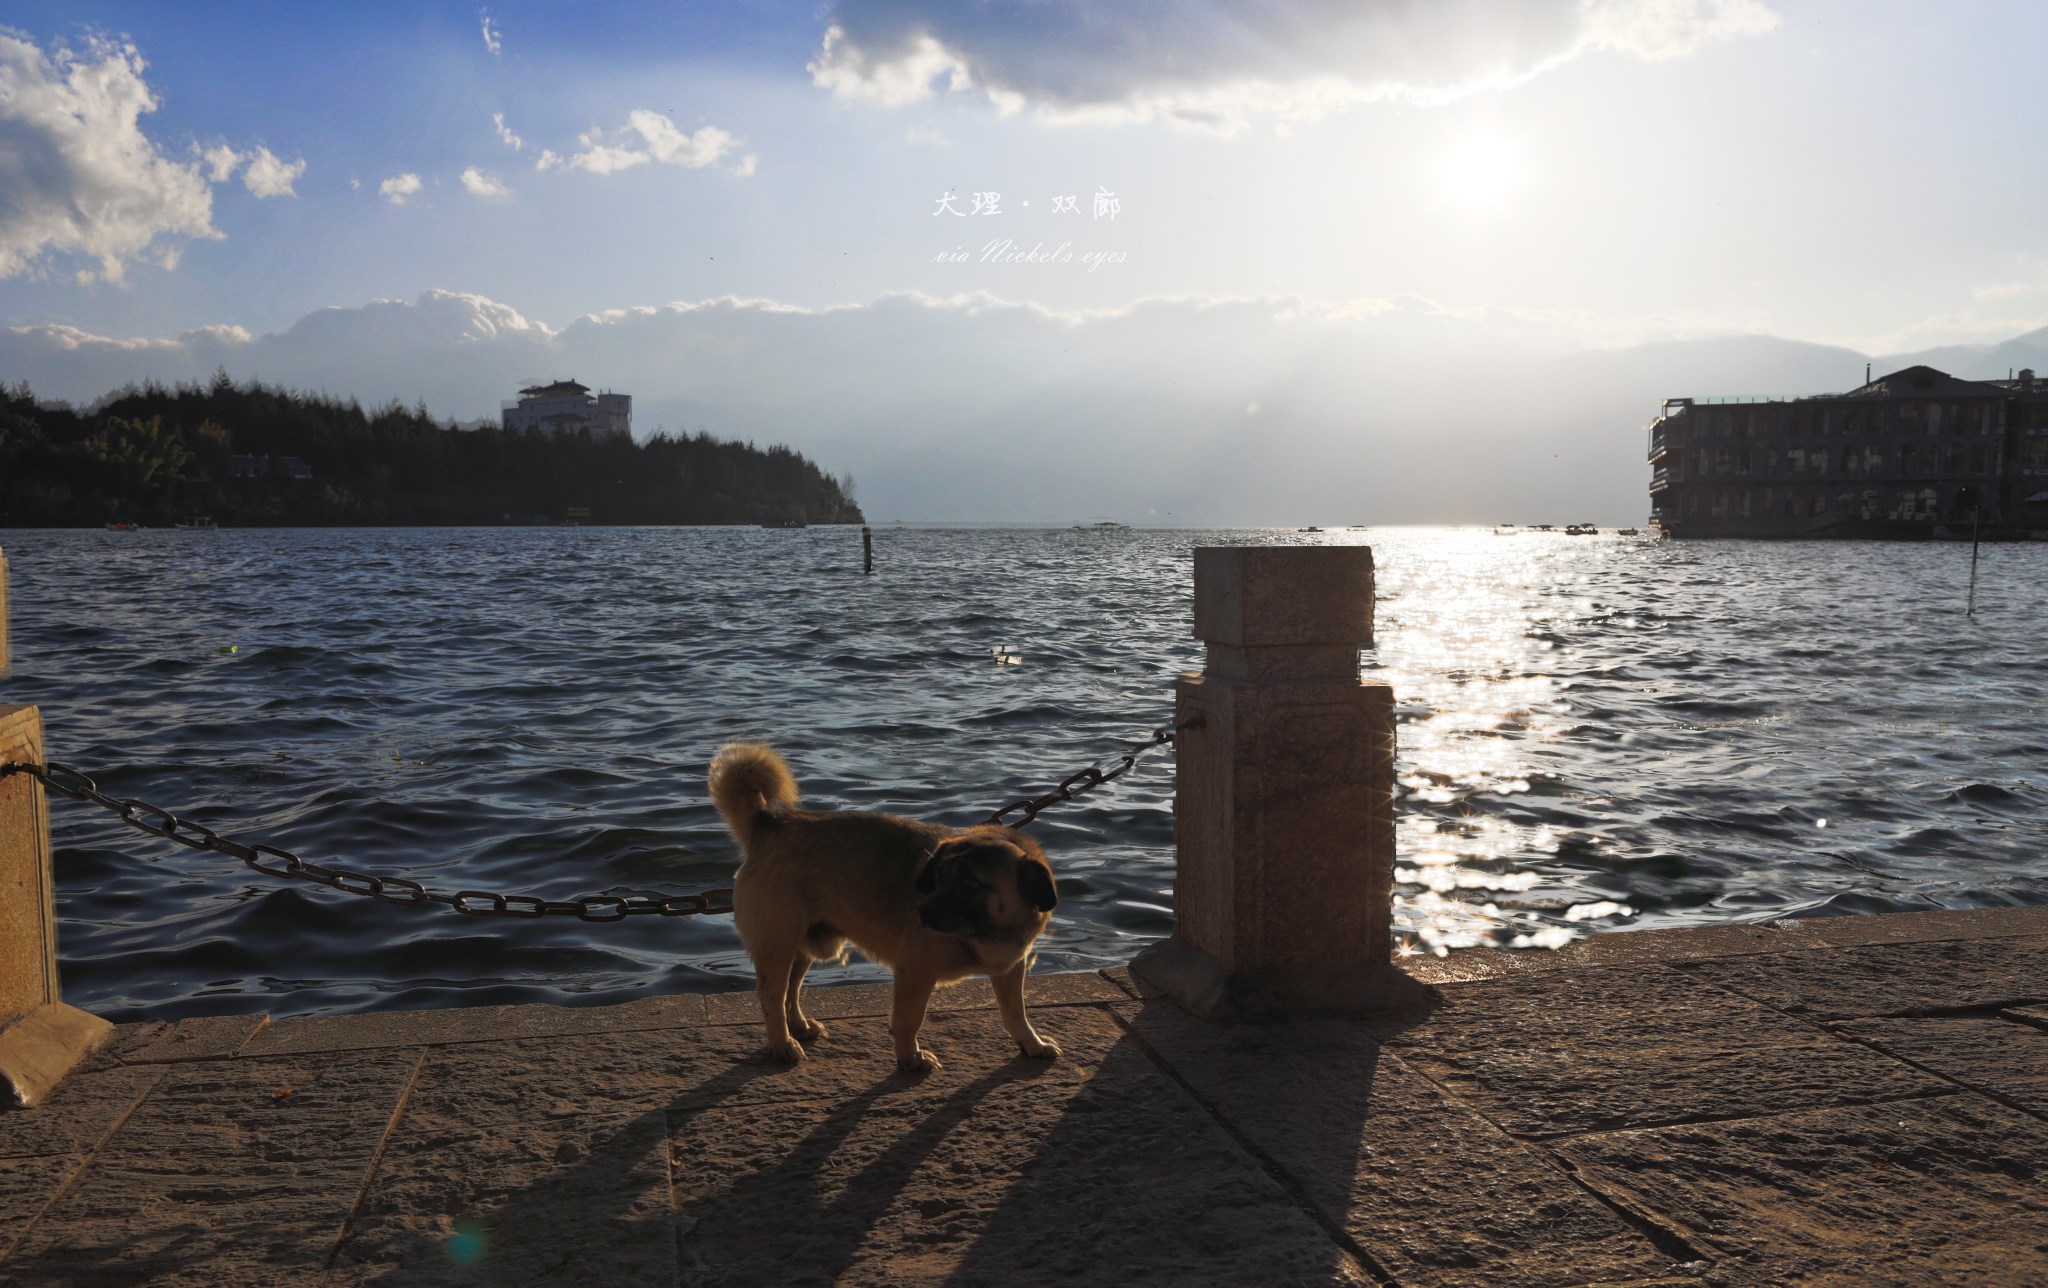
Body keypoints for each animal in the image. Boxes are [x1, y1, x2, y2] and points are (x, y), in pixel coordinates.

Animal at [708, 737, 1064, 1072]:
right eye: (939, 875)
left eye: (972, 884)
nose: (923, 911)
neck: (987, 934)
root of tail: (768, 822)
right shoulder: (914, 972)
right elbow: (909, 1021)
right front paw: (910, 1058)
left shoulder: (1011, 970)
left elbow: (1016, 1013)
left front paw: (1031, 1044)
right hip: (777, 946)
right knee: (772, 996)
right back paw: (782, 1043)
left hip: (802, 947)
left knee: (790, 993)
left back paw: (798, 1027)